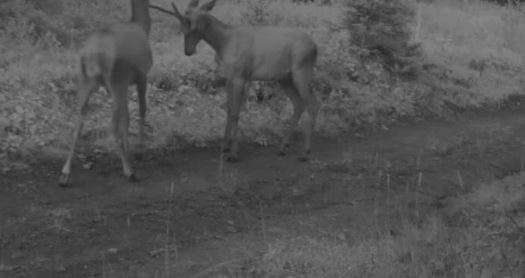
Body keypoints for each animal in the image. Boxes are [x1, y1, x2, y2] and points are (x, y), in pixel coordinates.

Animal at [60, 0, 154, 187]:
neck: (141, 25)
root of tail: (93, 55)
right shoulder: (142, 74)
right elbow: (141, 109)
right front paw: (140, 149)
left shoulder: (124, 85)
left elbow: (126, 119)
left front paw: (129, 150)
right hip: (115, 79)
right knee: (112, 127)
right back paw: (129, 171)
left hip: (84, 80)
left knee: (78, 123)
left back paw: (65, 174)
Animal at [148, 0, 320, 163]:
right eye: (182, 26)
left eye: (195, 25)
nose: (188, 51)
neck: (223, 44)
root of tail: (315, 47)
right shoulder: (228, 77)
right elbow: (229, 110)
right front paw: (224, 146)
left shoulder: (240, 76)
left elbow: (236, 113)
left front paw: (234, 153)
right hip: (284, 78)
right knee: (299, 103)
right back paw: (283, 147)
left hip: (301, 71)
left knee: (312, 103)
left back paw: (305, 152)